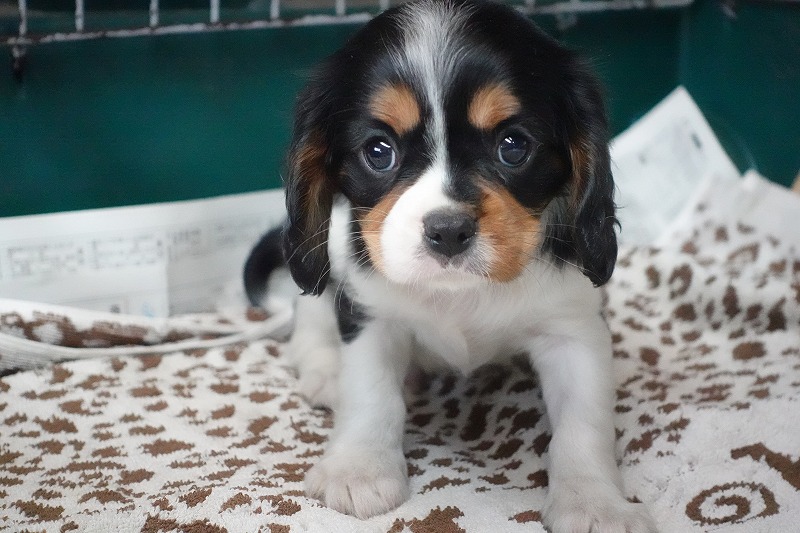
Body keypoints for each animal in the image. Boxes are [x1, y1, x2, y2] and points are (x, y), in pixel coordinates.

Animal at [244, 1, 655, 531]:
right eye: (378, 152)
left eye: (513, 146)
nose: (448, 230)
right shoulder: (371, 316)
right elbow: (370, 394)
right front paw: (359, 467)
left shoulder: (574, 327)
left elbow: (583, 422)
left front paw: (595, 503)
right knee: (311, 315)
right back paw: (323, 369)